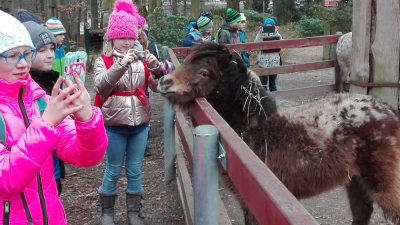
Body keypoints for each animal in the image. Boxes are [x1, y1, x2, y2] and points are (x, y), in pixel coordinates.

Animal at [158, 42, 400, 225]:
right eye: (186, 61)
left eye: (204, 72)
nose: (164, 82)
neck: (256, 127)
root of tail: (389, 110)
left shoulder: (254, 202)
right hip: (356, 181)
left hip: (383, 184)